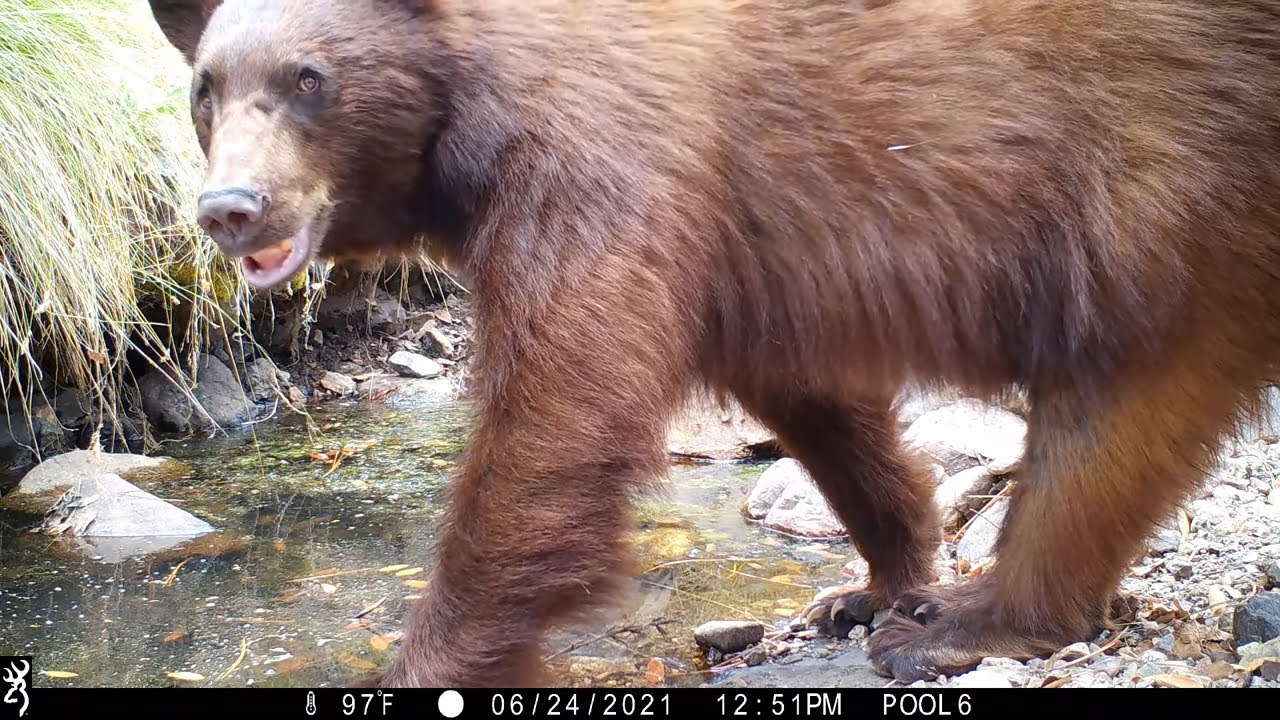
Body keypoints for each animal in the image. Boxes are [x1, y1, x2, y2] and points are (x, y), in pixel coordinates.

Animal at [145, 0, 1280, 688]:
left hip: (1158, 189)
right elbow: (813, 400)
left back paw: (968, 620)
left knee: (1107, 419)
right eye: (205, 85)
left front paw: (427, 664)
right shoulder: (744, 249)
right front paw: (876, 573)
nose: (229, 209)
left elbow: (560, 410)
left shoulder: (598, 159)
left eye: (309, 77)